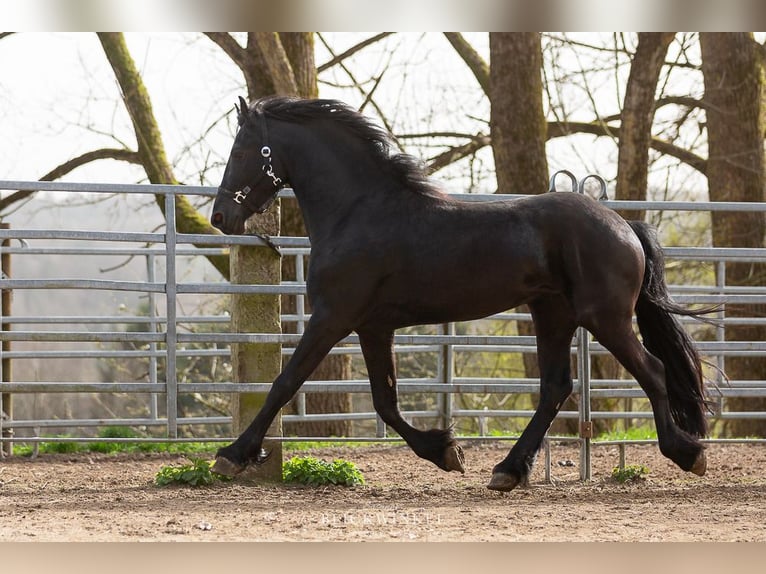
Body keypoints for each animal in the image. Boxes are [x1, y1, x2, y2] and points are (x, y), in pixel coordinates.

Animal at [210, 95, 712, 491]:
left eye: (241, 149)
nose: (219, 217)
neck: (359, 212)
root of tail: (623, 225)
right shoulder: (373, 327)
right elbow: (385, 402)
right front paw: (445, 451)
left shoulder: (333, 317)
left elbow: (284, 382)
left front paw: (232, 456)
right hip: (553, 315)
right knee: (556, 387)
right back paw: (509, 470)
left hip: (604, 317)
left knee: (654, 371)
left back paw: (688, 453)